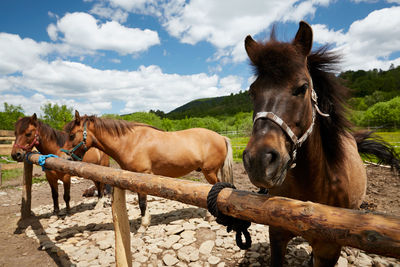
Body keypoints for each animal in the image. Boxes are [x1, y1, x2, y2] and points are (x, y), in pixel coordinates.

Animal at [63, 110, 234, 228]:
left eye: (71, 135)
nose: (65, 158)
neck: (130, 142)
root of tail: (221, 137)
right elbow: (141, 202)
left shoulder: (142, 176)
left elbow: (142, 202)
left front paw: (143, 225)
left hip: (209, 172)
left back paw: (210, 216)